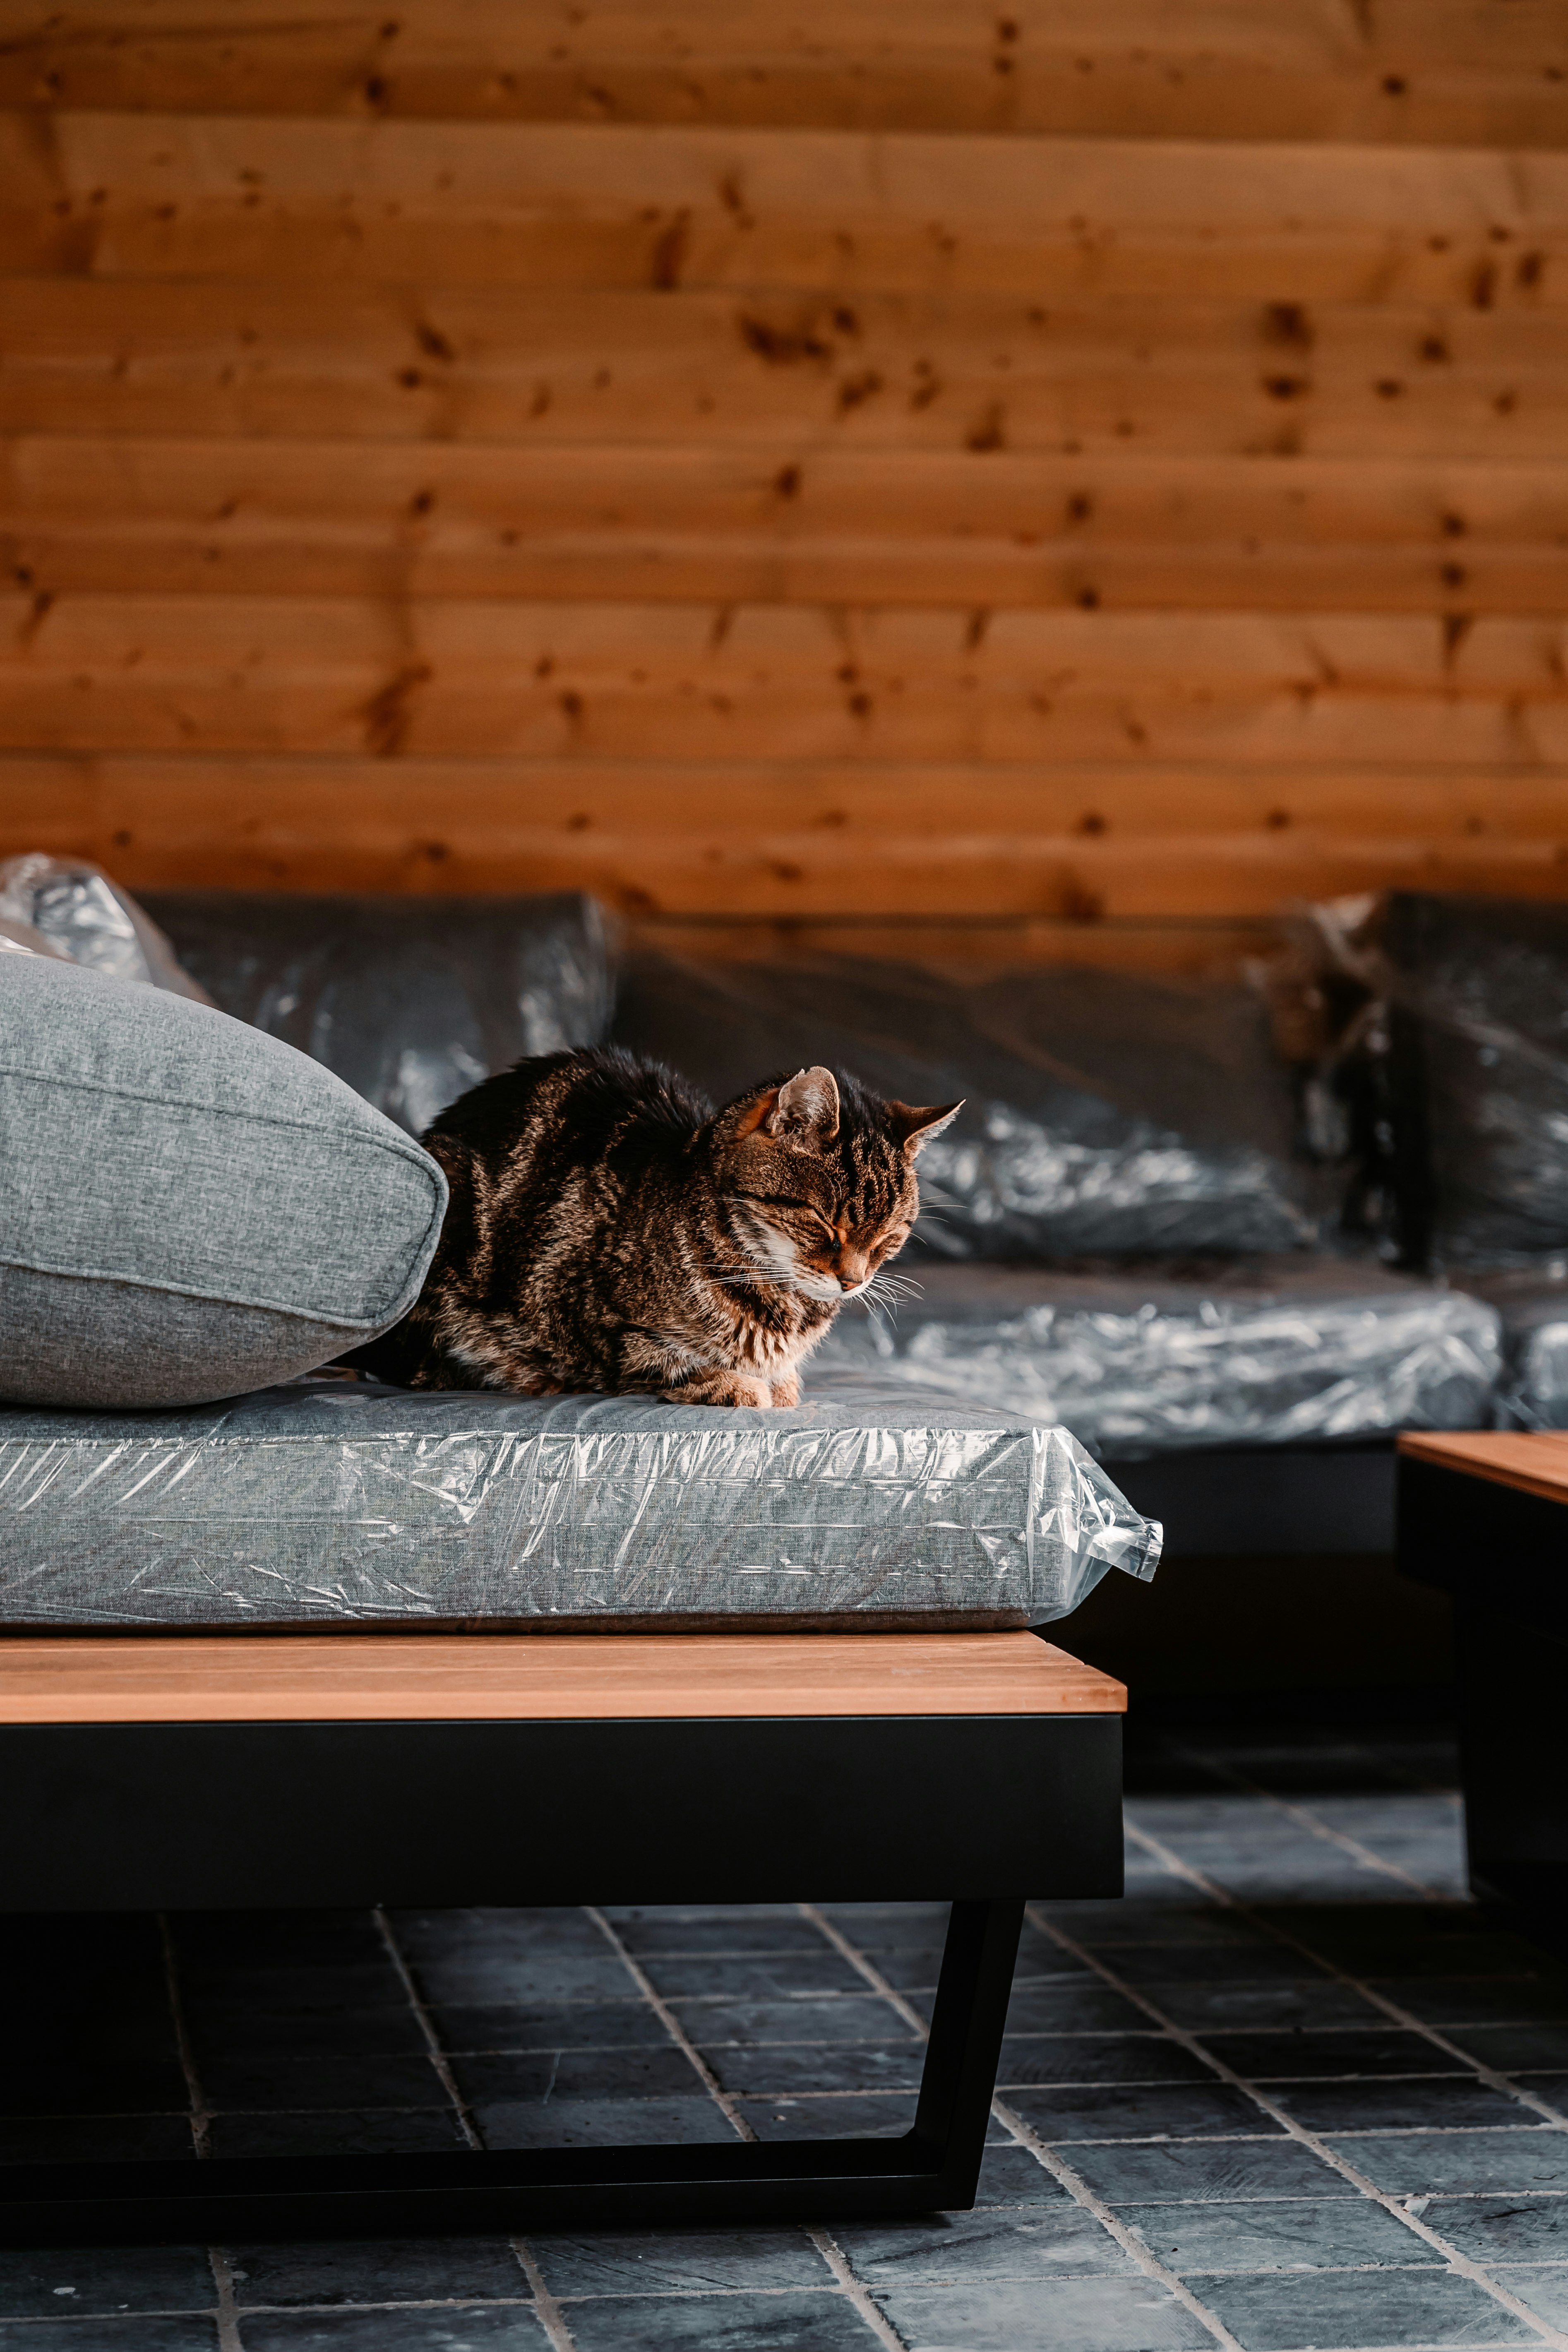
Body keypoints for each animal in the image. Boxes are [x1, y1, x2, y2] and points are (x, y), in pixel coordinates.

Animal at [350, 1058, 964, 1402]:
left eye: (889, 1237)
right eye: (822, 1221)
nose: (853, 1282)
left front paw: (780, 1380)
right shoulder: (588, 1321)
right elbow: (664, 1360)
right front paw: (739, 1384)